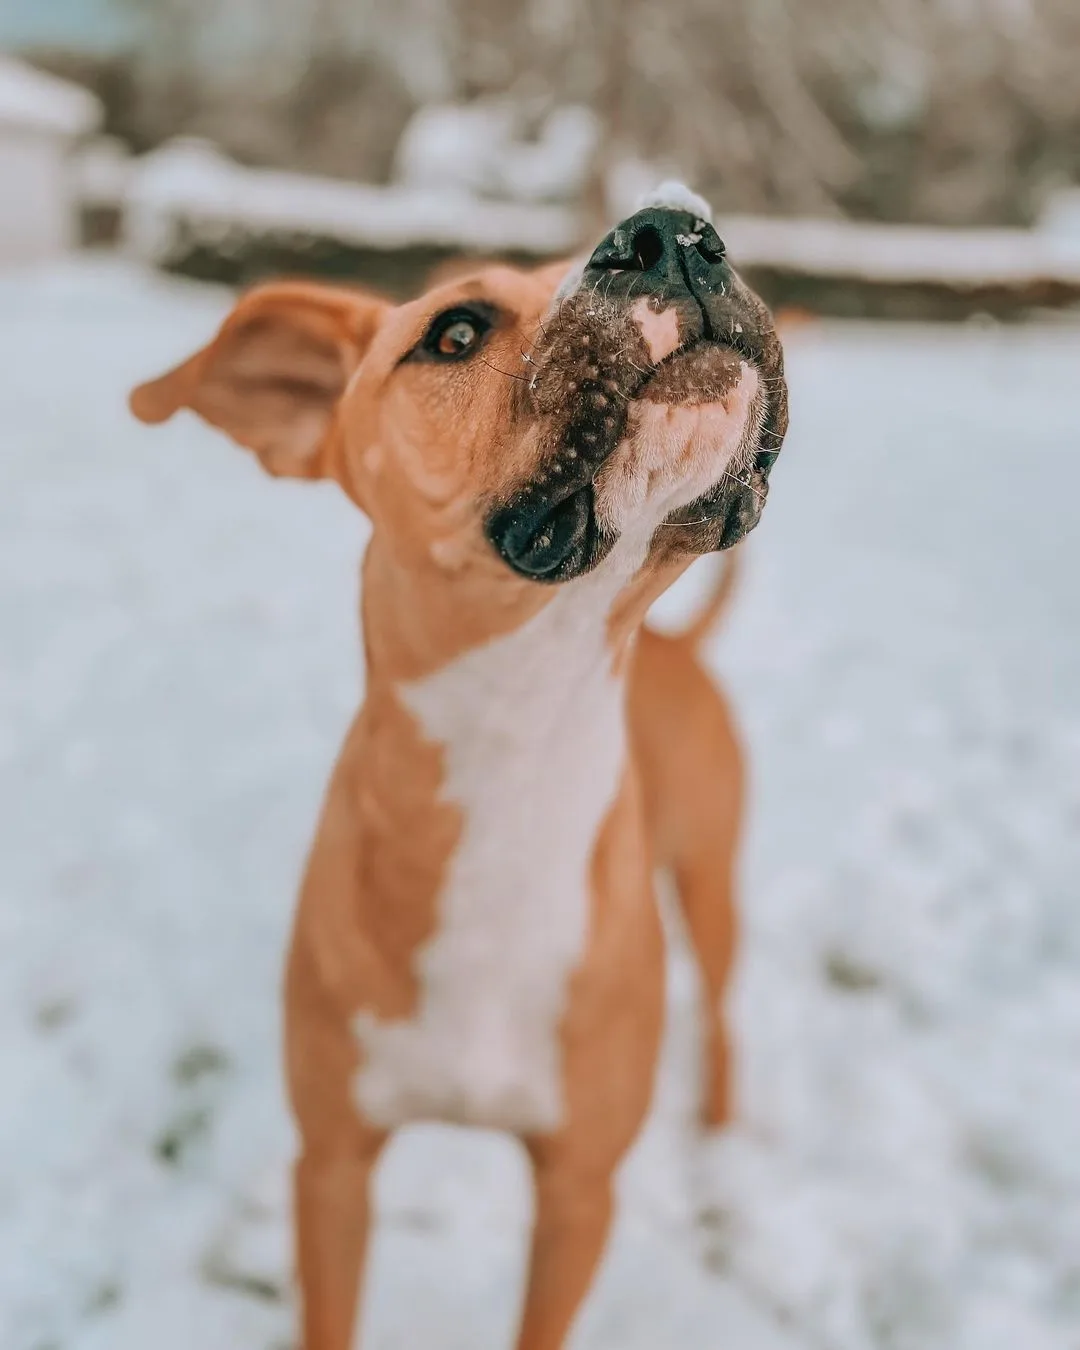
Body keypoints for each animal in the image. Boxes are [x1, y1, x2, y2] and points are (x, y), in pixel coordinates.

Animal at [130, 182, 788, 1350]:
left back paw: (716, 1130)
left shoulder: (578, 1190)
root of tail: (680, 647)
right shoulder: (332, 1167)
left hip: (711, 884)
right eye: (456, 332)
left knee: (720, 1013)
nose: (676, 230)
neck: (514, 749)